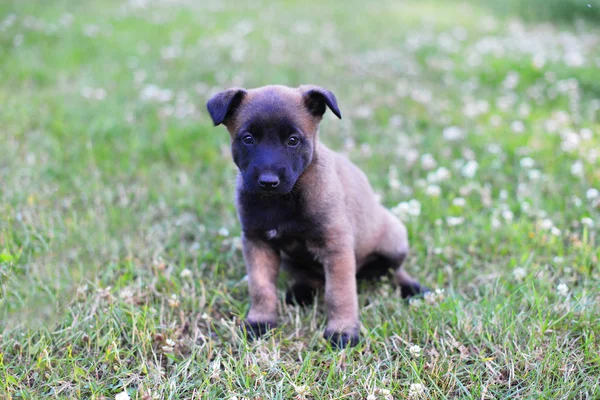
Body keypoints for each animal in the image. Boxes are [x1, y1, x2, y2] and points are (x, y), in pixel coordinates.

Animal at [206, 84, 426, 346]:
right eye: (248, 139)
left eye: (293, 140)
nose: (268, 182)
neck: (283, 200)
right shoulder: (257, 243)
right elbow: (261, 288)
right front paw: (260, 322)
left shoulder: (336, 247)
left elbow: (339, 294)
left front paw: (342, 331)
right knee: (310, 276)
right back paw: (301, 293)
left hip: (393, 240)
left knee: (394, 271)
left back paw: (411, 288)